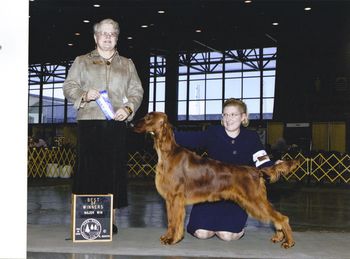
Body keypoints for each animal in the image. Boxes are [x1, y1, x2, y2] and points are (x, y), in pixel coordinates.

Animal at [133, 112, 300, 250]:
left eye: (148, 117)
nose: (132, 124)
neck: (168, 152)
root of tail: (256, 171)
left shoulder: (175, 198)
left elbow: (175, 222)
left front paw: (173, 239)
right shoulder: (170, 199)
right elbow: (170, 221)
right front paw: (168, 237)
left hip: (255, 200)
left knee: (282, 217)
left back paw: (289, 241)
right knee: (276, 217)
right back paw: (279, 237)